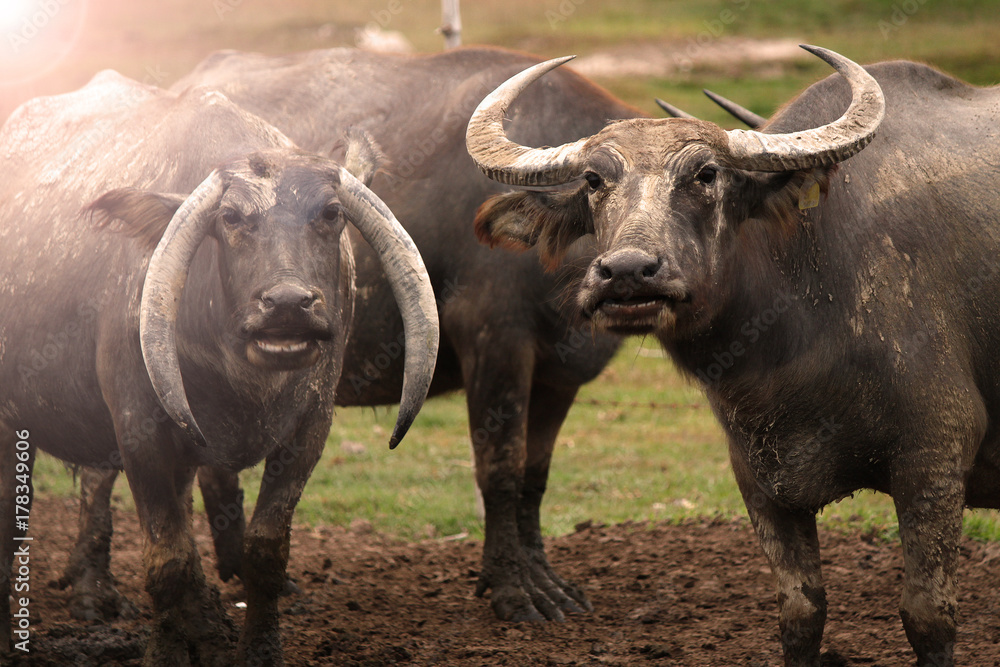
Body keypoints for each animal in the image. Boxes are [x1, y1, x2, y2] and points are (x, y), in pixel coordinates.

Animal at [0, 71, 438, 664]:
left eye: (331, 213)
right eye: (230, 218)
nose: (287, 304)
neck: (244, 383)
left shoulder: (308, 432)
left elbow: (265, 553)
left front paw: (257, 648)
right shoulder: (140, 431)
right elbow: (168, 561)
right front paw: (165, 652)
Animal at [467, 46, 1000, 666]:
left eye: (706, 174)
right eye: (595, 180)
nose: (627, 272)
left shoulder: (933, 459)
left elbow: (928, 616)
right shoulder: (761, 482)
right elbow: (801, 614)